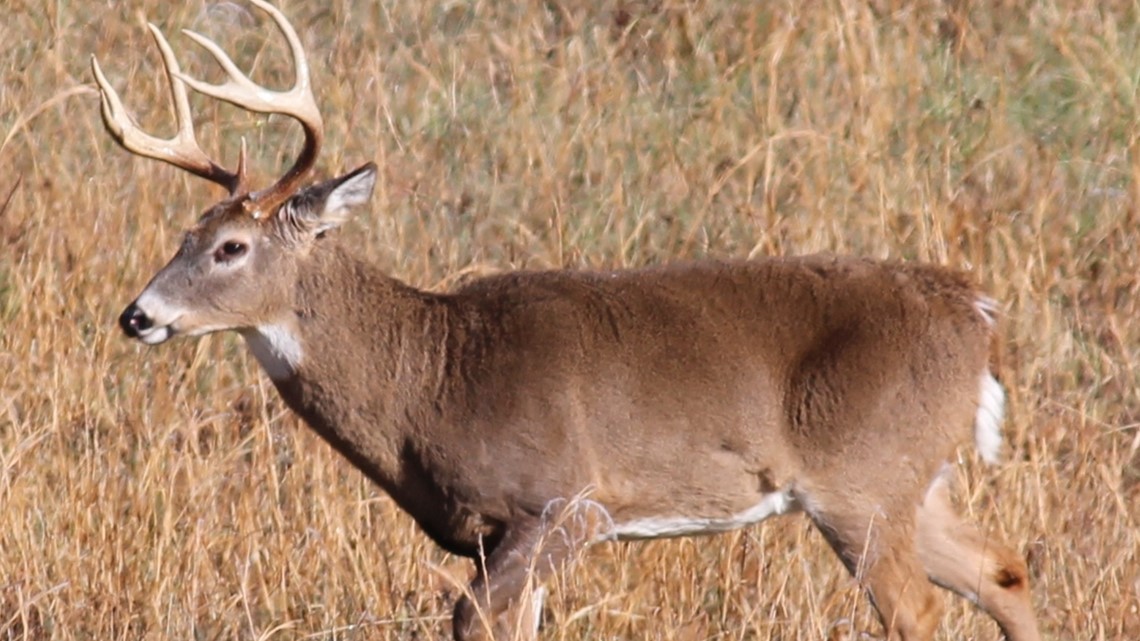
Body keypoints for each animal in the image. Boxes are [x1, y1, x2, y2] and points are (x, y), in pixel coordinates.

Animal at [91, 2, 1041, 639]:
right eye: (184, 234)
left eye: (232, 247)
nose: (137, 315)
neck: (428, 377)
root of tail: (979, 312)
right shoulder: (491, 533)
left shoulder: (563, 500)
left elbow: (472, 621)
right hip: (915, 475)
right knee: (1005, 567)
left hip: (862, 479)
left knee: (918, 610)